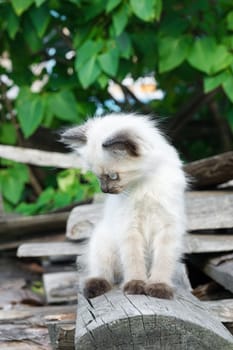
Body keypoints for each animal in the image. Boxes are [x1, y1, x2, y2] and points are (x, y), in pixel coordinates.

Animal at [61, 113, 186, 300]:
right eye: (97, 176)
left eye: (113, 176)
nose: (104, 190)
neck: (143, 185)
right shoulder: (129, 226)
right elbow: (134, 260)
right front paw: (136, 286)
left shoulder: (168, 226)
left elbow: (163, 261)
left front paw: (158, 287)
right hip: (102, 241)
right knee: (105, 274)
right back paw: (94, 287)